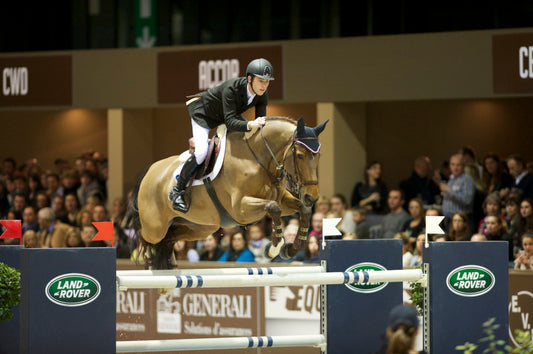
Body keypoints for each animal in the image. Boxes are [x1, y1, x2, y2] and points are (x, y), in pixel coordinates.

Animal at [130, 117, 326, 268]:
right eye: (300, 155)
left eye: (319, 156)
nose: (312, 197)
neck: (258, 161)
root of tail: (149, 171)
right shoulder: (241, 209)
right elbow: (273, 207)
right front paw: (275, 247)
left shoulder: (282, 200)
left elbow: (302, 210)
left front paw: (291, 248)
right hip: (155, 227)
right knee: (146, 236)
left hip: (201, 227)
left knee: (169, 238)